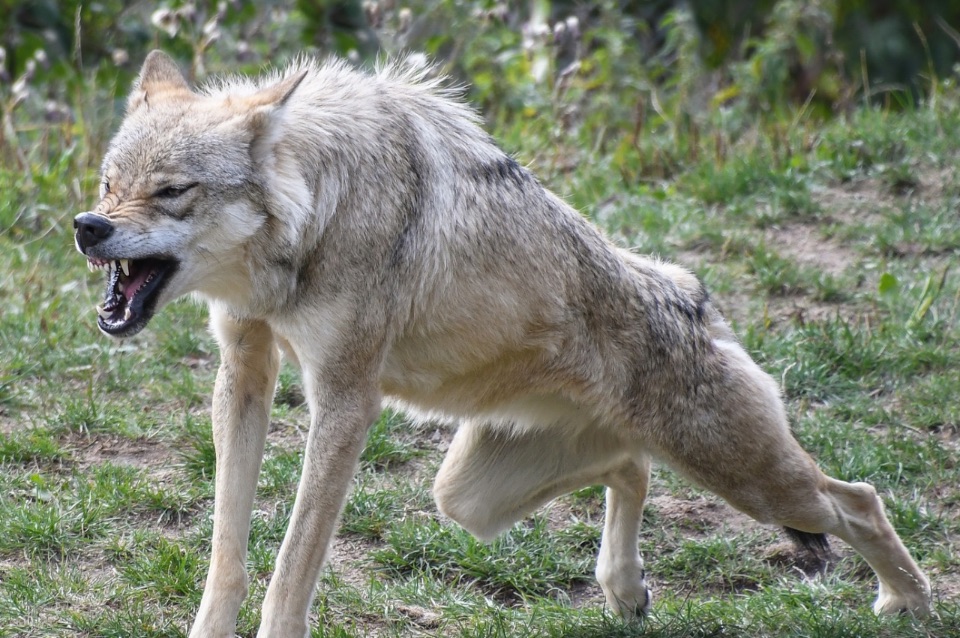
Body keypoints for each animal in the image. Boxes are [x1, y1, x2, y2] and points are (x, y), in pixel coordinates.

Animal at [73, 51, 928, 638]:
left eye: (171, 192)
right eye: (109, 183)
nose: (88, 226)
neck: (318, 213)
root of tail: (695, 296)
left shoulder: (345, 401)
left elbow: (291, 563)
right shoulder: (244, 373)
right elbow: (227, 548)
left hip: (750, 480)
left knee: (858, 499)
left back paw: (906, 599)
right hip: (468, 497)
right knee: (631, 465)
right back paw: (625, 589)